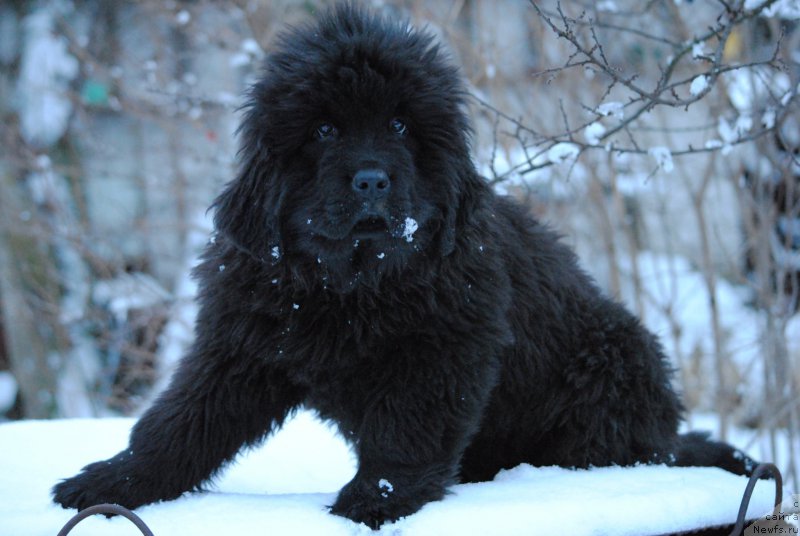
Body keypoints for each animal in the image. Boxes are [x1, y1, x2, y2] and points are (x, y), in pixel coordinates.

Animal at [54, 1, 756, 528]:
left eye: (398, 125)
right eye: (324, 131)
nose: (371, 181)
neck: (347, 284)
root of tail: (666, 434)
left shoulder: (440, 351)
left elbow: (407, 431)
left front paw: (374, 499)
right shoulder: (242, 346)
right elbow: (181, 422)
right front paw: (113, 481)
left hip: (611, 364)